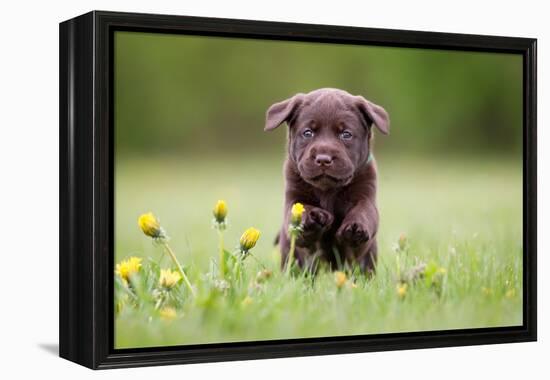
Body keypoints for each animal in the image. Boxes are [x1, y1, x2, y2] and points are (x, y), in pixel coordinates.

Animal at [266, 89, 390, 274]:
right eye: (308, 133)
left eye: (346, 134)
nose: (323, 159)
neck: (328, 190)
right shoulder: (293, 197)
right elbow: (298, 211)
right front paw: (313, 217)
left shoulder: (366, 193)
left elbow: (364, 210)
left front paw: (356, 227)